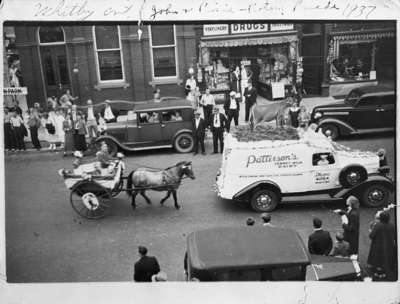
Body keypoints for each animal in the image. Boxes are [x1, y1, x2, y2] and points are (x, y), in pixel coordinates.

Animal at [59, 159, 195, 218]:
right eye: (188, 169)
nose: (194, 177)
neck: (172, 174)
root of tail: (136, 171)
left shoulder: (169, 188)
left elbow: (168, 196)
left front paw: (162, 202)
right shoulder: (173, 188)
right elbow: (173, 197)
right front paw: (177, 205)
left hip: (142, 186)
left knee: (141, 194)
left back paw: (147, 201)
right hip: (139, 186)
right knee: (135, 194)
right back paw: (134, 205)